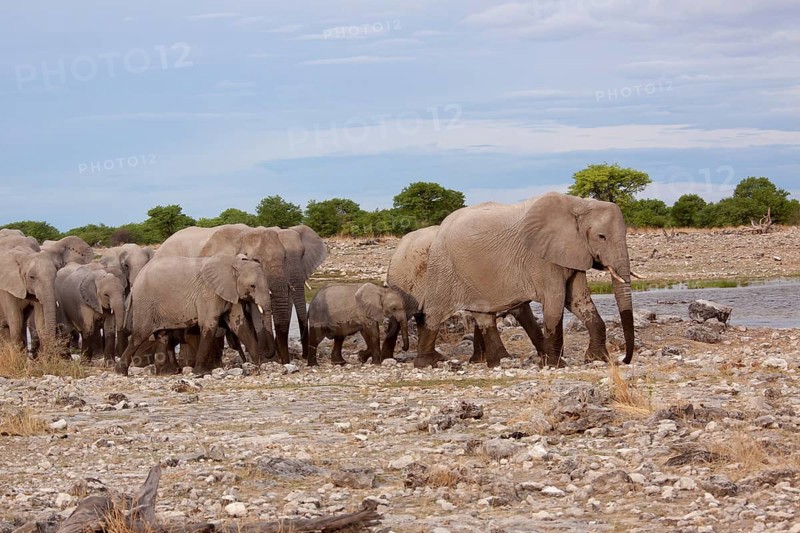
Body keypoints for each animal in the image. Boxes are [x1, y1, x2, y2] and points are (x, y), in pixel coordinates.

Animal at [115, 255, 271, 376]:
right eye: (252, 286)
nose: (264, 358)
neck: (233, 263)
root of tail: (135, 283)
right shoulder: (208, 293)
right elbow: (209, 325)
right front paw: (200, 373)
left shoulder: (230, 292)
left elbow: (239, 324)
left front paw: (258, 365)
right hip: (145, 303)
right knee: (139, 336)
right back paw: (121, 372)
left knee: (163, 335)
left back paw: (166, 372)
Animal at [412, 192, 636, 368]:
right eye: (601, 237)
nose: (624, 360)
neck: (579, 204)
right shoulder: (541, 257)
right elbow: (556, 301)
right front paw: (555, 365)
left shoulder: (574, 252)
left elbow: (579, 300)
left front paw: (597, 359)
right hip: (444, 265)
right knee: (435, 311)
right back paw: (427, 363)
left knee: (483, 314)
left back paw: (499, 362)